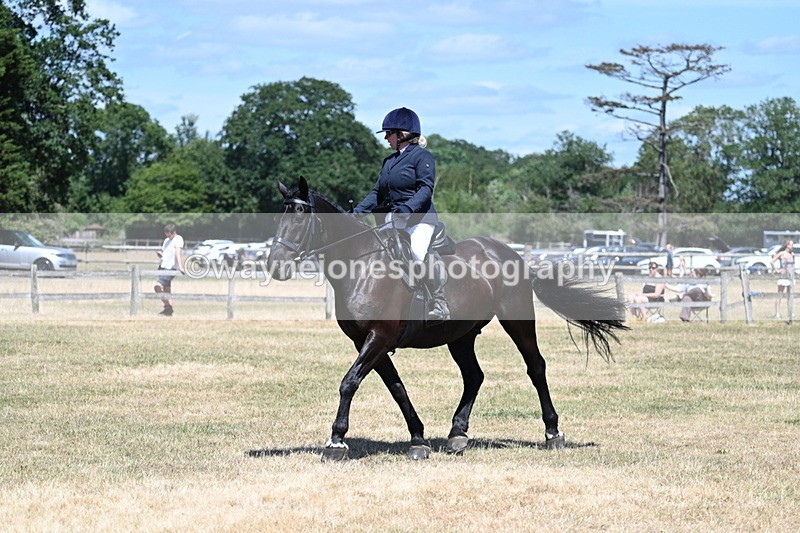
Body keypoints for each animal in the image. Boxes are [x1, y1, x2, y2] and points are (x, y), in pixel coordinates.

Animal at [267, 177, 627, 460]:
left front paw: (336, 441)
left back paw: (552, 433)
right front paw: (418, 439)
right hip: (461, 336)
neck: (362, 265)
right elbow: (396, 388)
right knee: (474, 376)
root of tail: (512, 255)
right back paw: (458, 434)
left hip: (517, 321)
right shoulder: (368, 342)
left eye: (299, 218)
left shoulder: (378, 338)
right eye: (278, 218)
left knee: (535, 367)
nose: (275, 266)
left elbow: (349, 382)